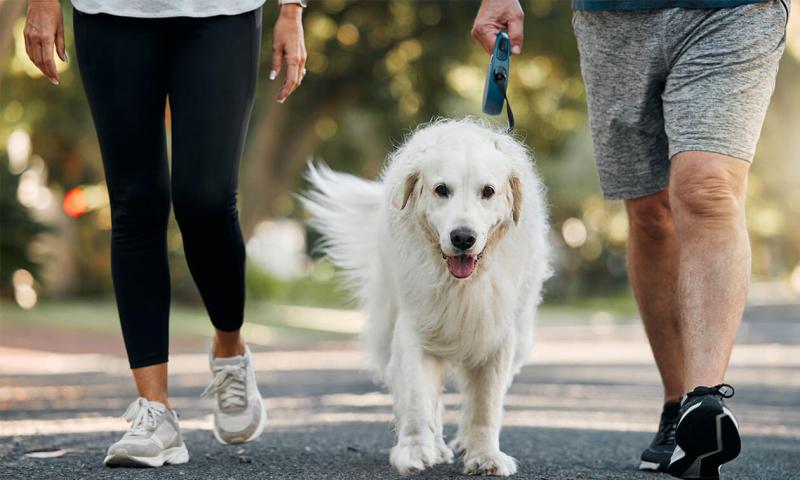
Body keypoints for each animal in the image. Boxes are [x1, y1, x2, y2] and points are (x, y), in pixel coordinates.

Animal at [300, 118, 552, 474]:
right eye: (441, 189)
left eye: (488, 192)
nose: (463, 237)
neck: (461, 285)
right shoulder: (415, 329)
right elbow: (418, 399)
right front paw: (416, 450)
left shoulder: (497, 335)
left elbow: (486, 404)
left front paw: (485, 455)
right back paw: (437, 445)